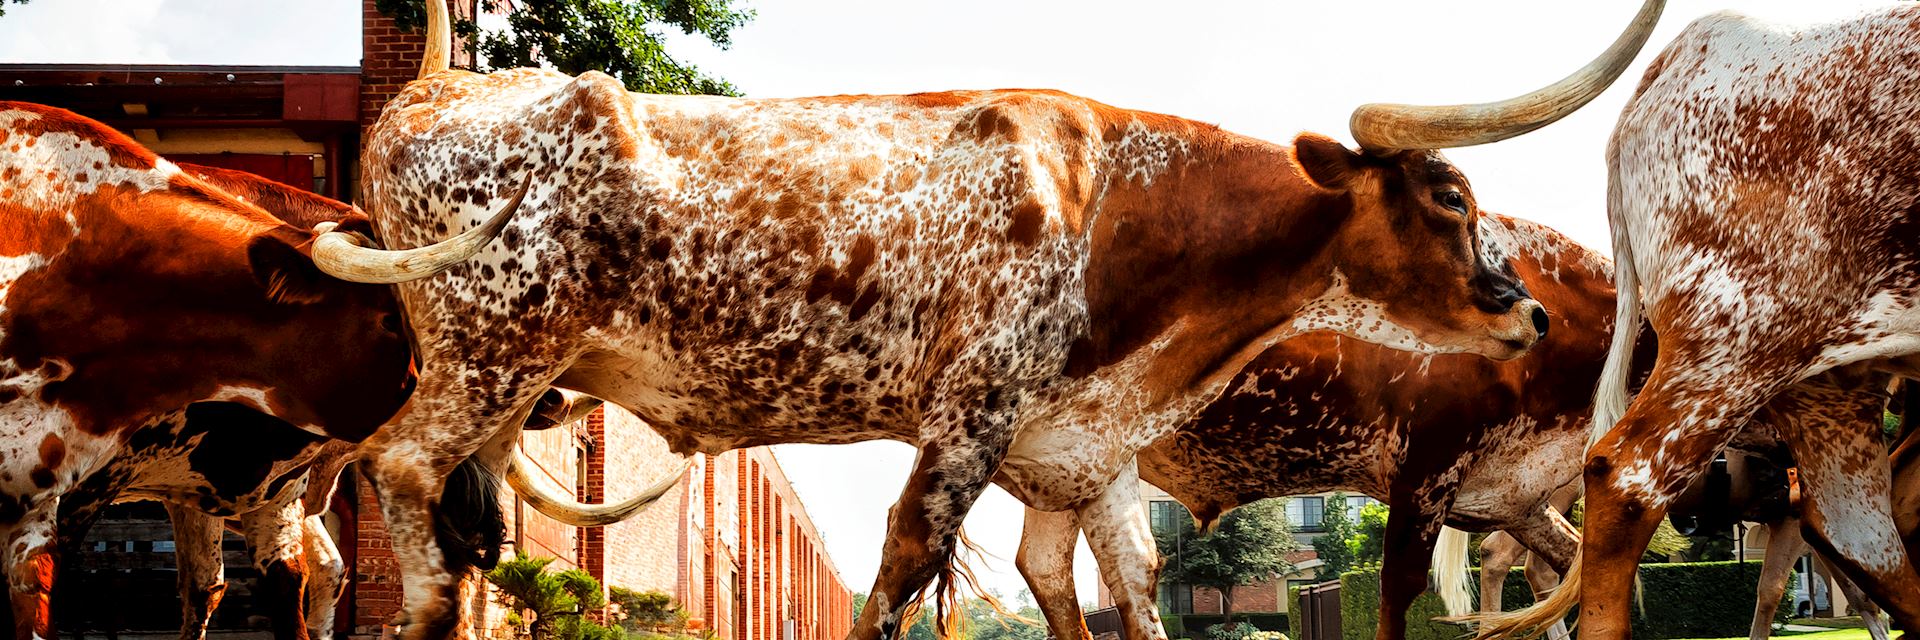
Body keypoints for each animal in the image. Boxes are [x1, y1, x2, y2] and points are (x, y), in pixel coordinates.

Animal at [303, 2, 1681, 634]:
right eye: (1450, 196)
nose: (1524, 312)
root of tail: (429, 91)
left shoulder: (1070, 456)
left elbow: (1091, 590)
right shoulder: (968, 416)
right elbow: (901, 571)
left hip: (506, 385)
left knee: (457, 518)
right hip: (489, 352)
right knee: (398, 470)